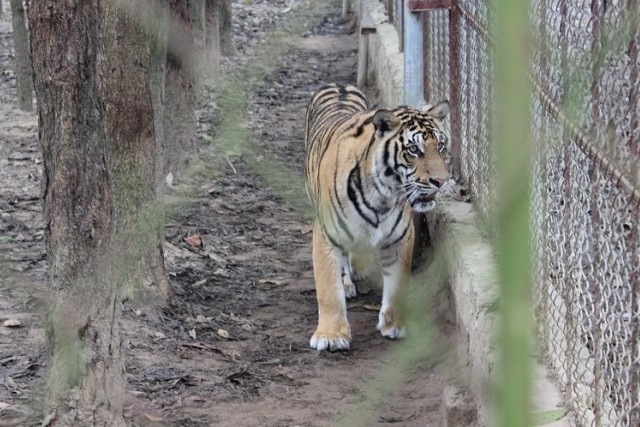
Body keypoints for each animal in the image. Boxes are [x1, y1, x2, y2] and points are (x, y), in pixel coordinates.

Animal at [304, 83, 450, 352]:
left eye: (442, 146)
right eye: (413, 150)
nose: (441, 181)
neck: (382, 197)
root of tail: (339, 85)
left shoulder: (400, 237)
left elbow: (398, 284)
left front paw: (395, 325)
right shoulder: (326, 234)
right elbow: (328, 288)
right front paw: (331, 335)